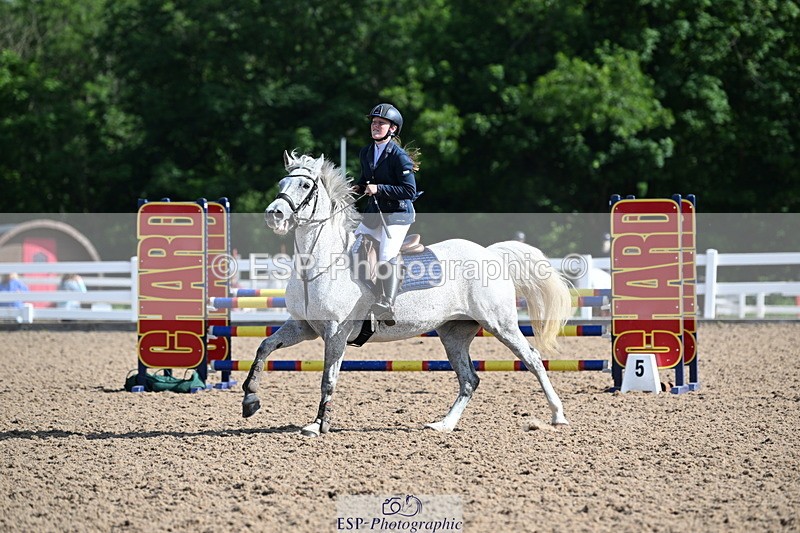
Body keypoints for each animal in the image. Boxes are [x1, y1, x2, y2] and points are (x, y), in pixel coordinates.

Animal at [242, 151, 574, 436]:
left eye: (305, 185)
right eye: (281, 184)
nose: (274, 214)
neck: (320, 263)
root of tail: (490, 254)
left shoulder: (336, 332)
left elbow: (328, 379)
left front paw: (318, 425)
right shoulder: (304, 327)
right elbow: (264, 348)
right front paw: (250, 400)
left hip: (500, 324)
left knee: (532, 359)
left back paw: (558, 415)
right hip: (454, 333)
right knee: (469, 379)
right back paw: (443, 425)